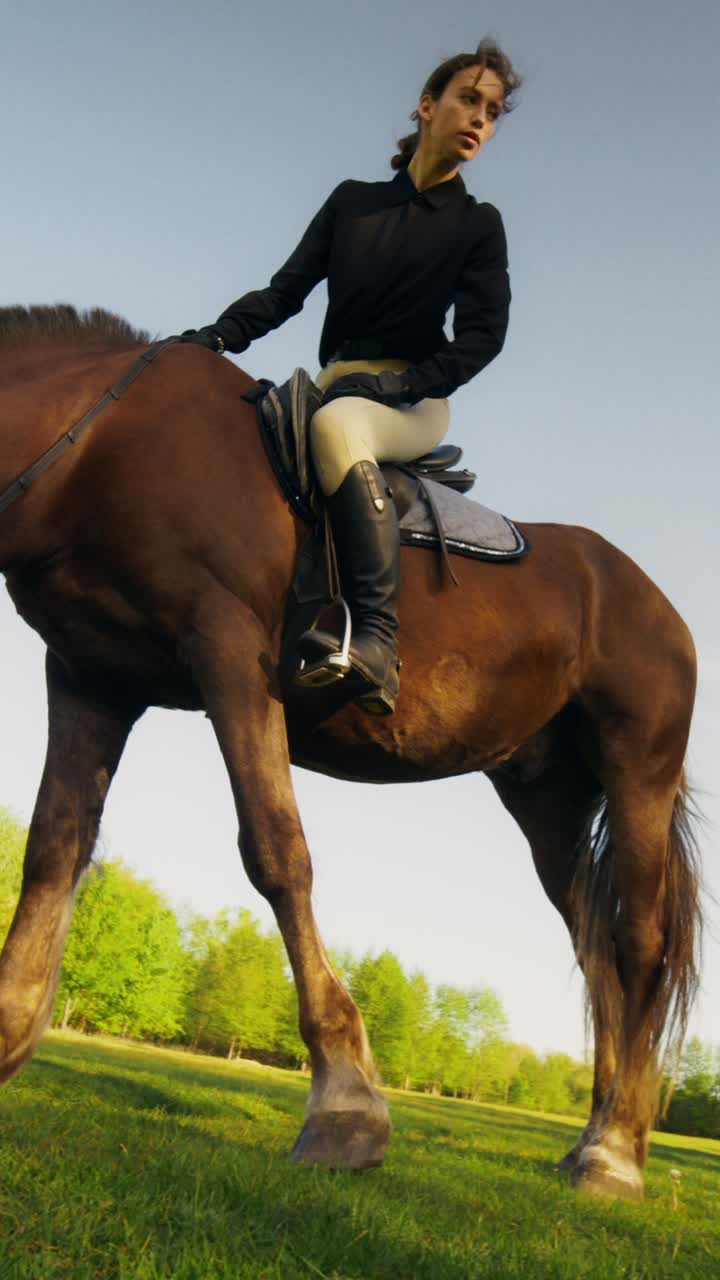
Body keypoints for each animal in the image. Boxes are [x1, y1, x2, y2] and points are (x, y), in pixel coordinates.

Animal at [0, 305, 701, 1201]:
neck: (97, 444)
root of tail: (651, 597)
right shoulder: (88, 678)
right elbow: (54, 848)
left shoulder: (228, 656)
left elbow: (276, 853)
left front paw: (346, 1102)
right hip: (548, 802)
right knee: (595, 944)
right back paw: (601, 1136)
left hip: (638, 770)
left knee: (639, 942)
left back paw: (615, 1152)